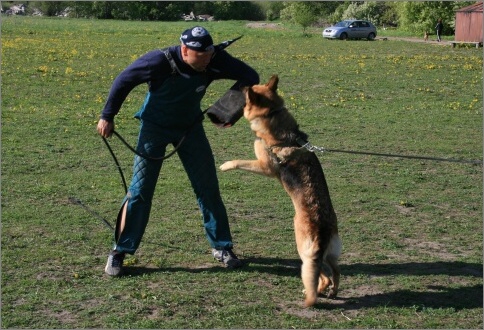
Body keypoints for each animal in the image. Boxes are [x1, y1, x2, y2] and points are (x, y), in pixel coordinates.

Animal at [221, 75, 342, 306]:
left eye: (248, 92)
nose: (242, 85)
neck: (272, 113)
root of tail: (322, 228)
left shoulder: (264, 166)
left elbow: (239, 161)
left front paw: (224, 165)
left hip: (304, 251)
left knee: (321, 274)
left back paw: (314, 293)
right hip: (331, 253)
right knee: (336, 272)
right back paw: (331, 292)